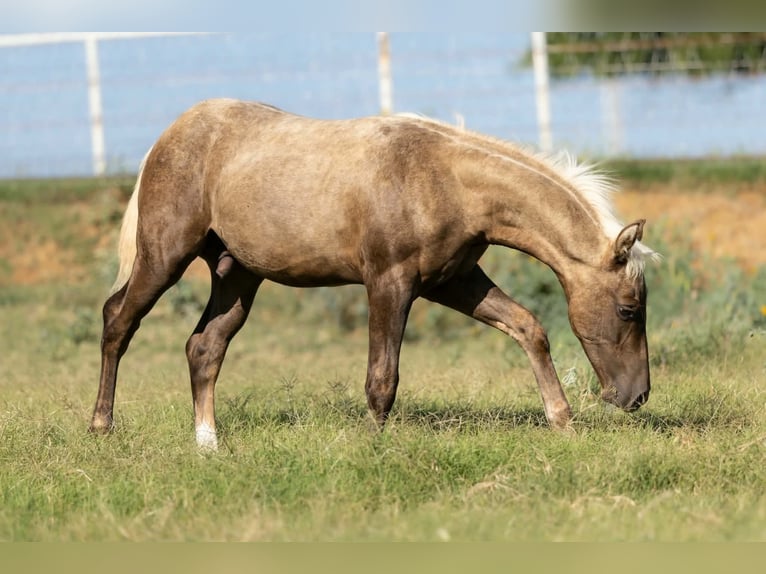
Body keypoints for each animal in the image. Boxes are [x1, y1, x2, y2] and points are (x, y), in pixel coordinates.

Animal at [89, 99, 658, 449]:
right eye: (629, 309)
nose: (635, 396)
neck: (444, 180)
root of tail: (168, 137)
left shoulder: (453, 281)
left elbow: (527, 327)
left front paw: (562, 422)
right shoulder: (389, 282)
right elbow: (382, 377)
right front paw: (374, 446)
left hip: (237, 274)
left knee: (204, 346)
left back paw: (207, 442)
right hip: (164, 257)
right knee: (118, 321)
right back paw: (101, 426)